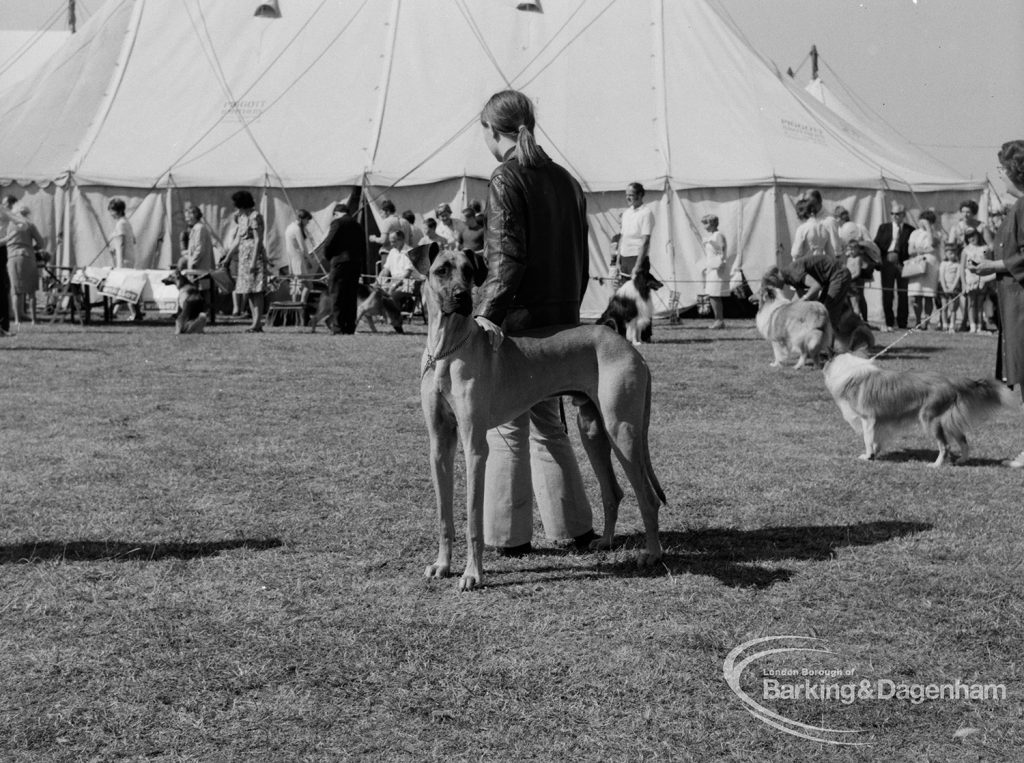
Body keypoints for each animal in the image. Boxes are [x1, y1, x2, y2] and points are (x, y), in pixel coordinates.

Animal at [823, 350, 1015, 464]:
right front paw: (875, 454)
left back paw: (936, 466)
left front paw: (868, 456)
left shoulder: (868, 419)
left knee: (945, 446)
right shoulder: (880, 422)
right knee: (963, 440)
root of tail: (951, 381)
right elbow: (877, 440)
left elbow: (868, 439)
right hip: (948, 420)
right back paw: (962, 460)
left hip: (931, 419)